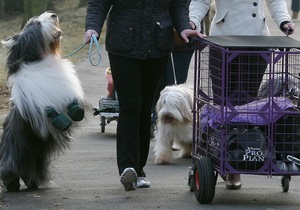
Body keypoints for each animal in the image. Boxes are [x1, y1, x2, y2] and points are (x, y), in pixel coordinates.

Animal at [0, 11, 90, 192]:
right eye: (37, 24)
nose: (53, 14)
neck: (39, 61)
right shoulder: (38, 103)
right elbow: (49, 110)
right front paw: (60, 121)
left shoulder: (65, 93)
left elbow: (73, 104)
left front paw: (76, 111)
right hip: (13, 153)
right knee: (10, 168)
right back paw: (11, 183)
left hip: (36, 158)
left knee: (29, 172)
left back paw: (32, 182)